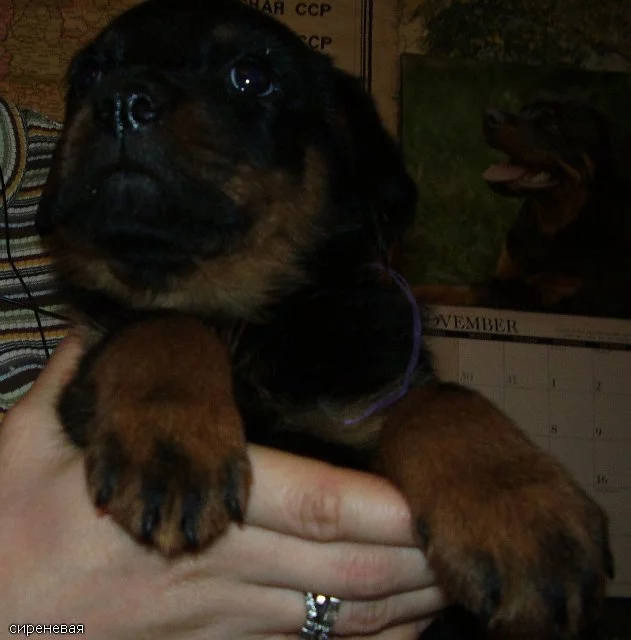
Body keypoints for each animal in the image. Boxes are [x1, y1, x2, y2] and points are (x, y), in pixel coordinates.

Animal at [36, 1, 613, 638]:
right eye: (88, 75)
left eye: (252, 77)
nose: (119, 99)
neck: (258, 321)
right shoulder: (87, 380)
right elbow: (165, 323)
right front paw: (169, 444)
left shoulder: (366, 398)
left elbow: (441, 400)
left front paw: (520, 512)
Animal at [481, 98, 631, 318]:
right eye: (523, 112)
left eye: (553, 126)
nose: (489, 115)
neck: (550, 222)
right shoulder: (505, 272)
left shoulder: (561, 291)